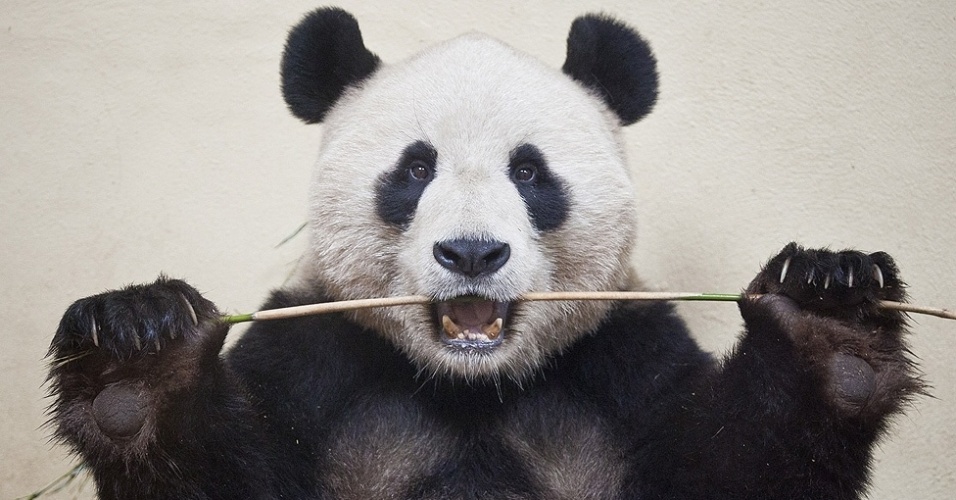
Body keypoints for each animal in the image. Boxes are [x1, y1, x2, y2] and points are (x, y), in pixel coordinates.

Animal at [47, 7, 921, 500]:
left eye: (529, 172)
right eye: (414, 169)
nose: (471, 252)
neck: (471, 384)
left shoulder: (624, 359)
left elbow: (740, 471)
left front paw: (830, 311)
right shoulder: (312, 353)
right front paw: (137, 355)